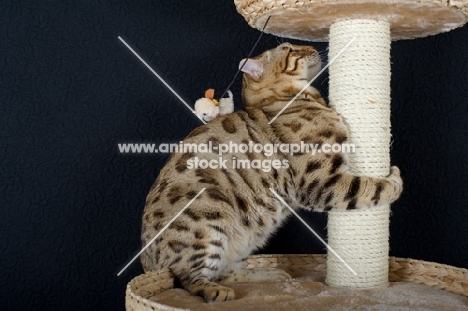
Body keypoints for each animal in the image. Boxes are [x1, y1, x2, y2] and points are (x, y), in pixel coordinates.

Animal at [140, 42, 402, 304]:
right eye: (290, 49)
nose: (310, 46)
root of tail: (146, 263)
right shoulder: (321, 181)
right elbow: (369, 187)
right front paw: (396, 181)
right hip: (209, 217)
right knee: (188, 278)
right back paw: (215, 291)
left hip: (244, 239)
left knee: (225, 272)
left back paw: (271, 274)